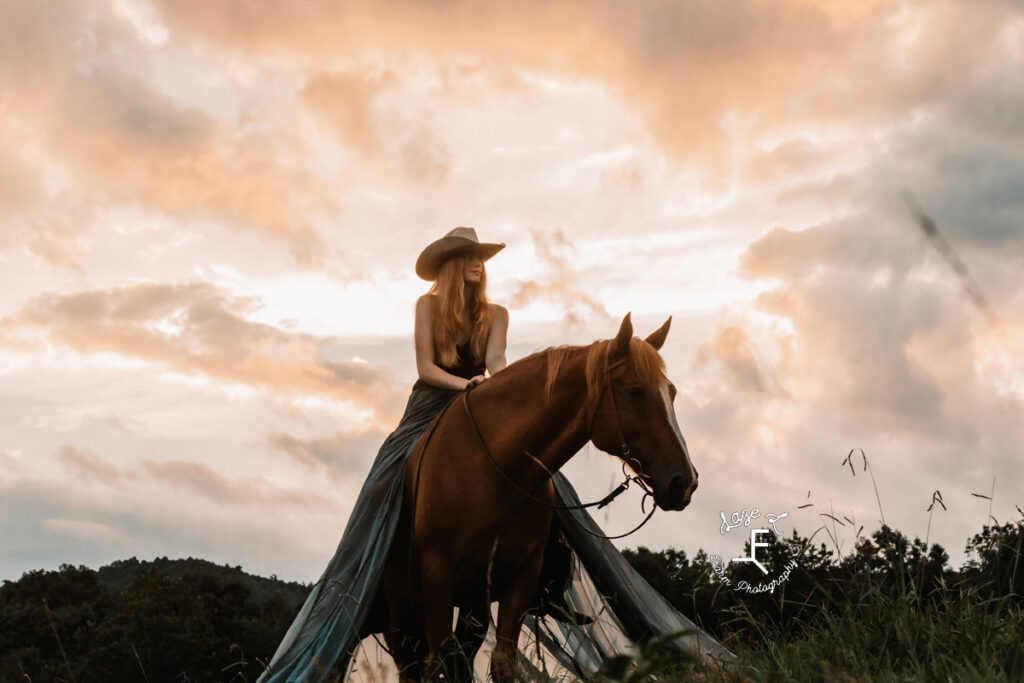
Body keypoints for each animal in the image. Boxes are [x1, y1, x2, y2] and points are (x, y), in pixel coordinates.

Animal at [380, 313, 700, 679]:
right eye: (634, 390)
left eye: (671, 392)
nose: (684, 482)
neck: (490, 468)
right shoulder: (437, 577)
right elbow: (436, 665)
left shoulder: (521, 577)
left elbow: (503, 660)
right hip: (401, 611)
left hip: (473, 601)